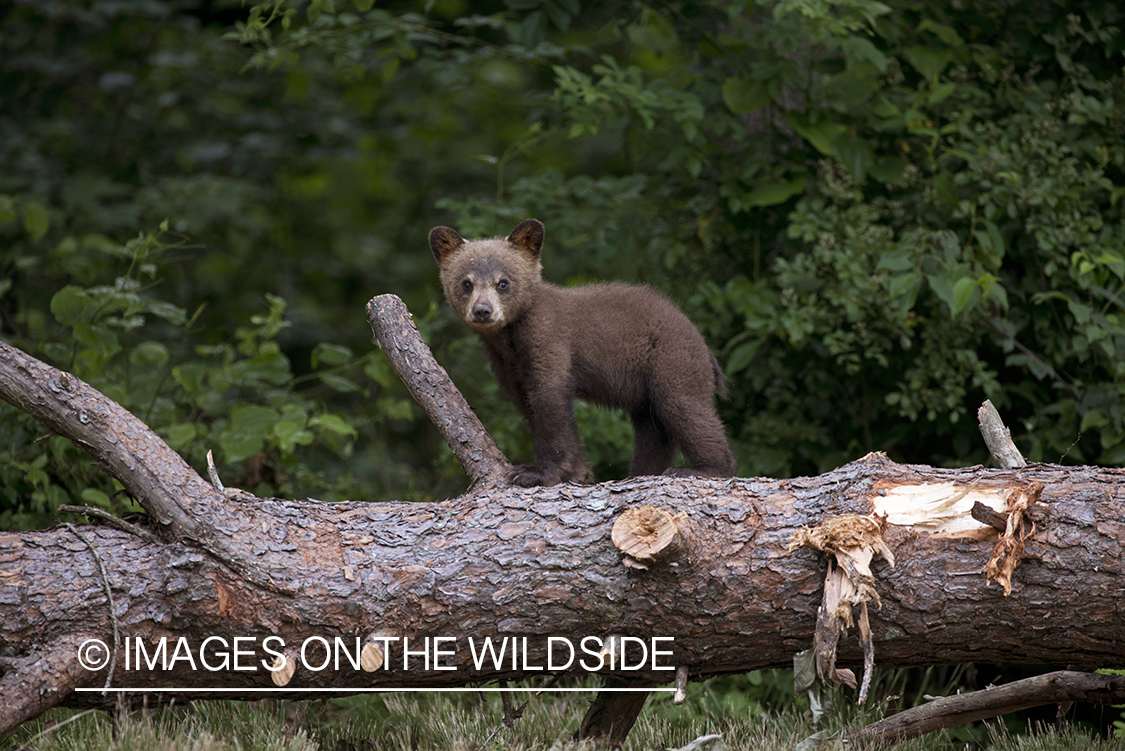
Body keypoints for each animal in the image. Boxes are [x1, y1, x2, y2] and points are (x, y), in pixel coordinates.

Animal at [429, 218, 737, 487]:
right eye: (466, 283)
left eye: (502, 282)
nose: (483, 311)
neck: (509, 338)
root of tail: (703, 344)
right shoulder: (506, 363)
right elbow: (526, 402)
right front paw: (577, 471)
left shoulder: (548, 339)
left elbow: (549, 401)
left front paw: (535, 472)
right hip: (645, 389)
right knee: (653, 428)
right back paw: (641, 472)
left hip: (671, 360)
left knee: (685, 407)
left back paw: (704, 468)